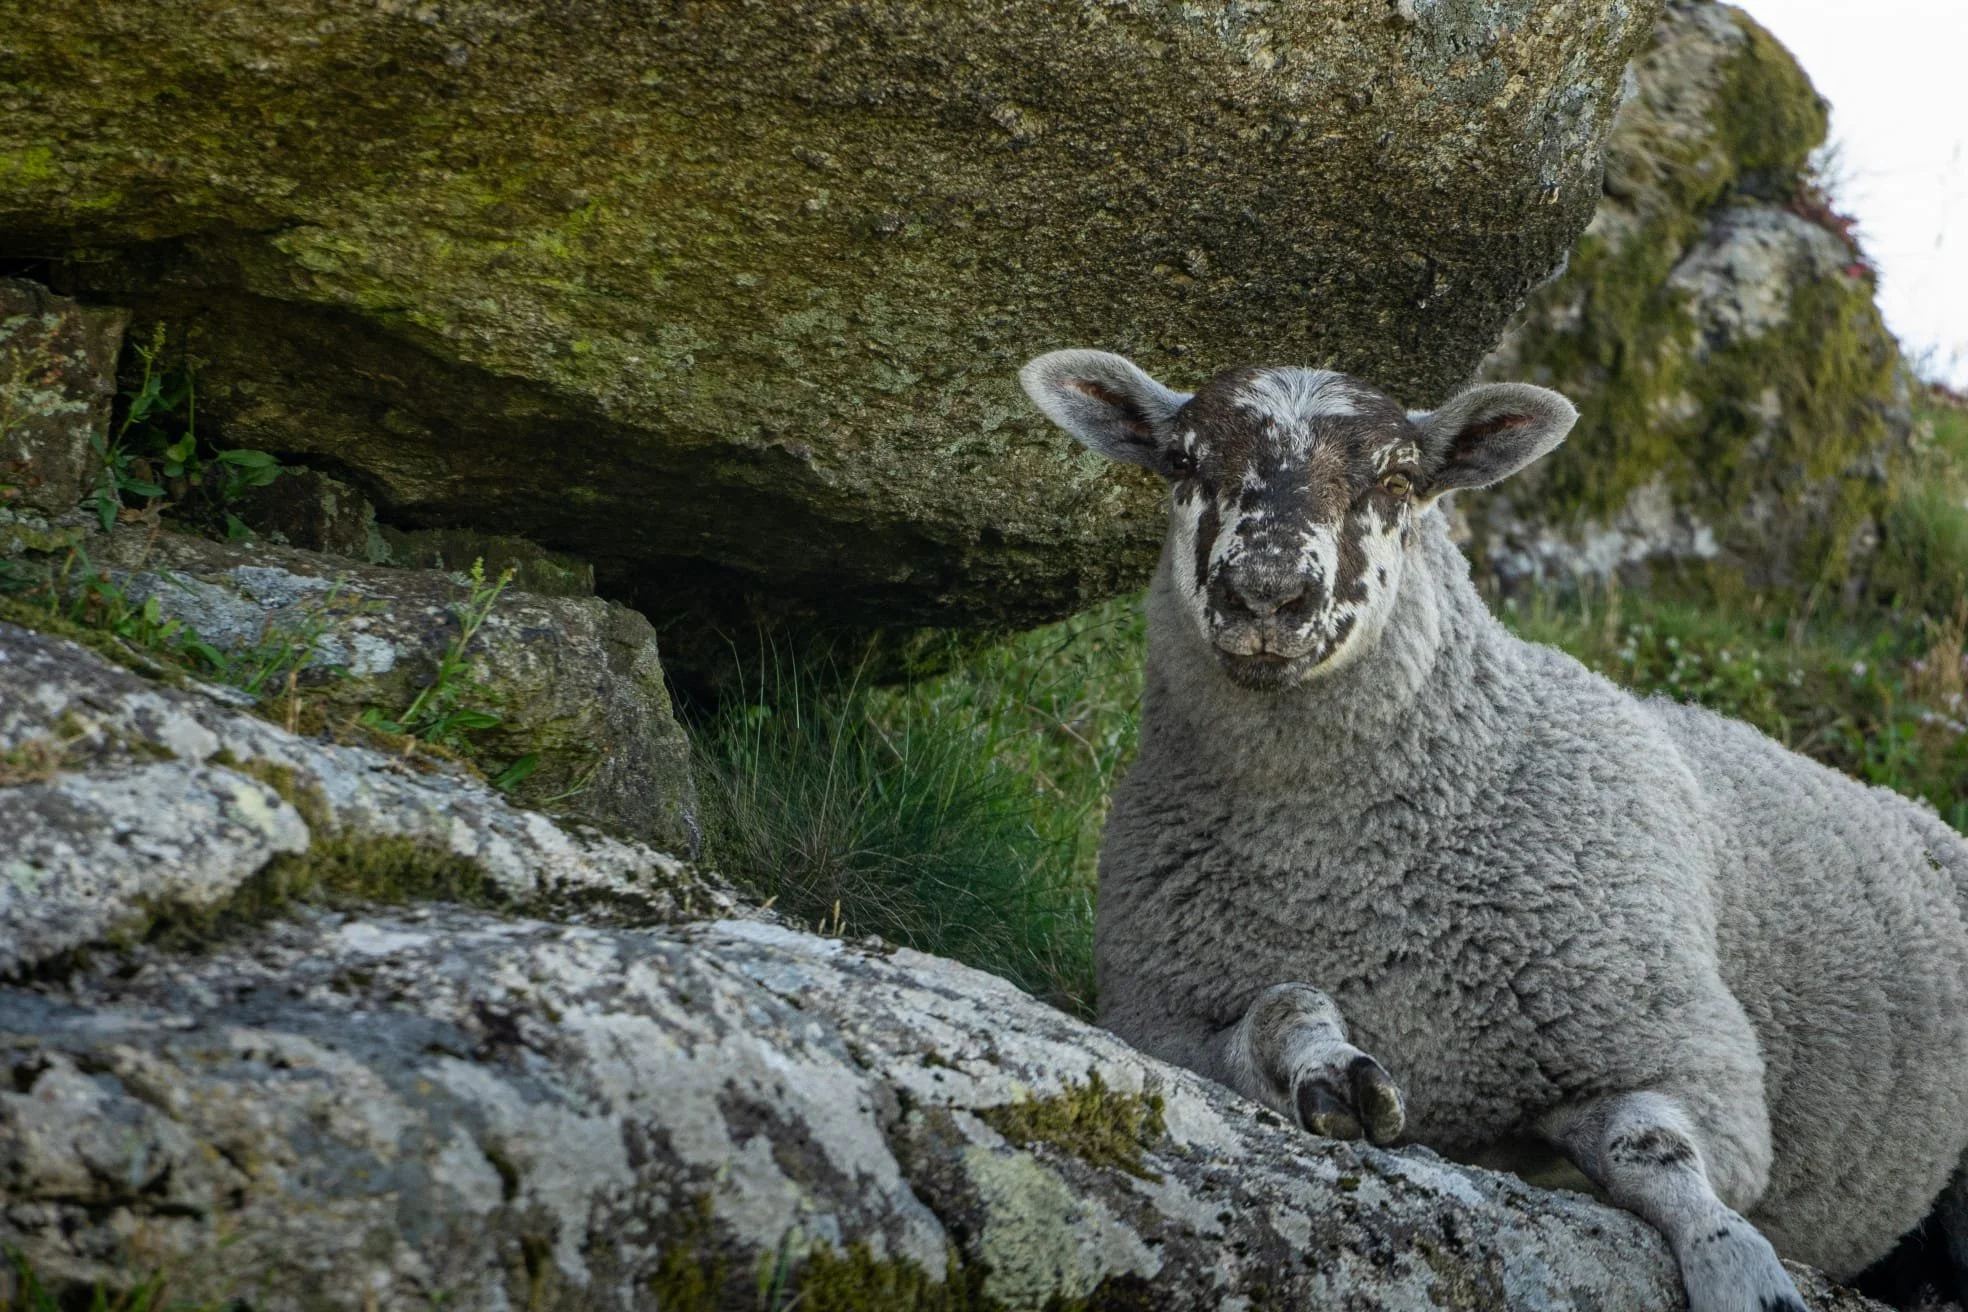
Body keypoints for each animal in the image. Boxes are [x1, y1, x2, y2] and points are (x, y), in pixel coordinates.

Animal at [1018, 349, 1968, 1312]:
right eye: (1181, 462)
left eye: (1399, 479)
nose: (1266, 593)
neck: (1332, 871)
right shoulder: (1157, 1027)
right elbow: (1281, 1007)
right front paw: (1332, 1070)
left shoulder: (1686, 1060)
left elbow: (1652, 1152)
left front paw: (1736, 1264)